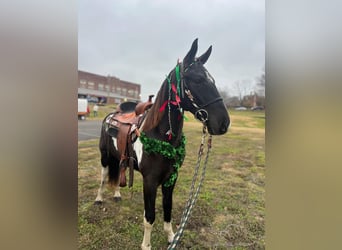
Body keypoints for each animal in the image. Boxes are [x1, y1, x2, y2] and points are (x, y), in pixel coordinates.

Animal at [93, 39, 230, 250]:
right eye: (198, 79)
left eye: (213, 80)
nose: (223, 123)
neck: (160, 137)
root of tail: (112, 115)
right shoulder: (150, 182)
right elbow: (149, 217)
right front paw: (146, 245)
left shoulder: (171, 178)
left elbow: (167, 208)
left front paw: (171, 237)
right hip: (105, 157)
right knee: (103, 177)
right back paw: (99, 199)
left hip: (120, 158)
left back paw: (116, 194)